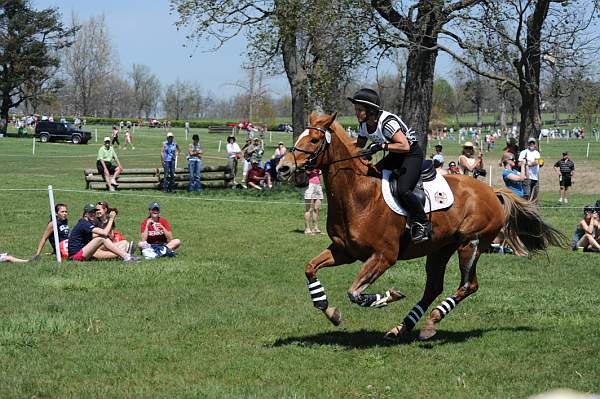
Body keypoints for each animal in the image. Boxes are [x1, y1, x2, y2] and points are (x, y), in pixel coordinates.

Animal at [274, 111, 564, 340]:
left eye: (313, 140)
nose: (282, 168)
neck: (358, 194)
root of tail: (491, 192)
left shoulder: (384, 256)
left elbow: (355, 293)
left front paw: (389, 296)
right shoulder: (343, 251)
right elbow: (311, 269)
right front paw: (331, 311)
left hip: (470, 244)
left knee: (468, 285)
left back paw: (430, 322)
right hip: (440, 249)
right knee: (434, 287)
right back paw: (402, 328)